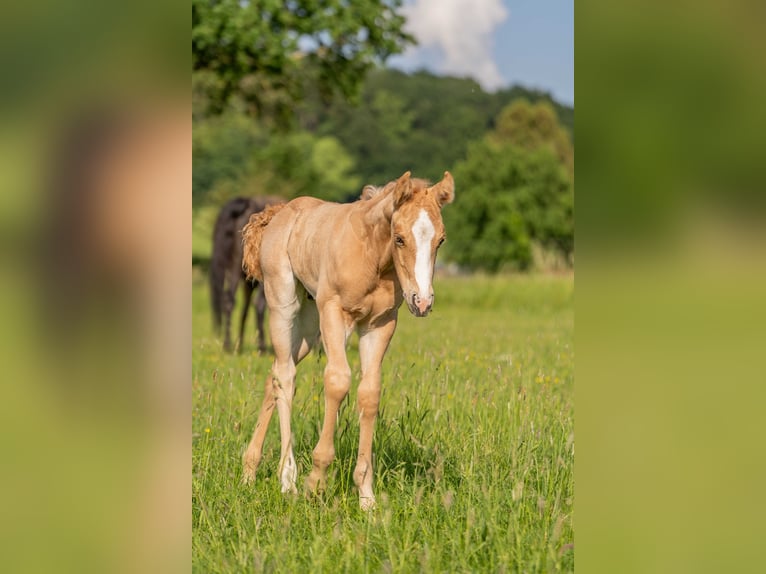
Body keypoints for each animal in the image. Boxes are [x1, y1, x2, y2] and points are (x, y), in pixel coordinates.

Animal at [210, 196, 283, 353]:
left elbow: (244, 311)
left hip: (234, 269)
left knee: (229, 301)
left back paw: (229, 345)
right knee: (259, 304)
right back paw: (262, 348)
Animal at [240, 171, 454, 509]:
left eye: (440, 240)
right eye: (399, 238)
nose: (421, 302)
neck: (372, 257)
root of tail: (282, 211)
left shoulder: (380, 325)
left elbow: (370, 393)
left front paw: (366, 496)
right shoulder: (334, 313)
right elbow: (338, 381)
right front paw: (316, 481)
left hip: (308, 327)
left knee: (274, 374)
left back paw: (250, 471)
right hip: (284, 305)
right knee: (285, 376)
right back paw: (288, 479)